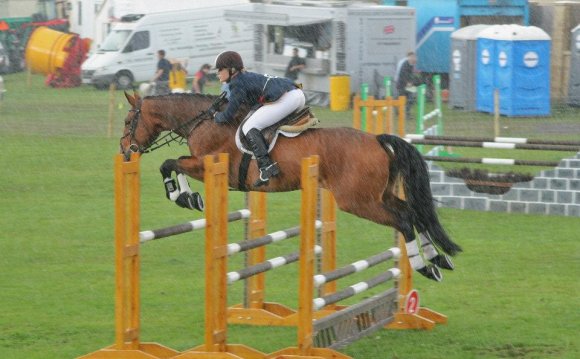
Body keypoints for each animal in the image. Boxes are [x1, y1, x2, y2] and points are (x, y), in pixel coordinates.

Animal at [119, 91, 462, 282]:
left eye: (127, 121)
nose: (125, 152)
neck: (205, 121)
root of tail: (376, 139)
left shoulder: (211, 166)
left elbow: (170, 163)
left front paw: (183, 196)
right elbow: (174, 162)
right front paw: (189, 197)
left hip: (358, 201)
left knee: (403, 220)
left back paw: (424, 267)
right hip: (379, 195)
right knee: (413, 213)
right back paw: (438, 259)